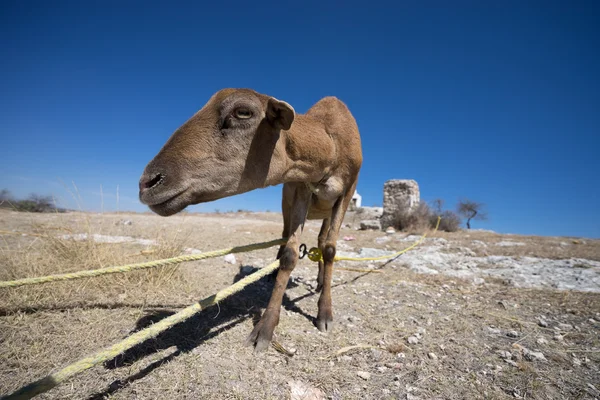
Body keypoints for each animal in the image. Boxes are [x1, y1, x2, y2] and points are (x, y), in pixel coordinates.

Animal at [141, 89, 364, 352]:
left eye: (243, 112)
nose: (148, 182)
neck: (330, 145)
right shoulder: (301, 189)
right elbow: (290, 254)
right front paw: (265, 328)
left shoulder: (347, 192)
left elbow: (330, 250)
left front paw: (325, 314)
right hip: (287, 201)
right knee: (286, 235)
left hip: (326, 210)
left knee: (321, 241)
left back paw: (320, 282)